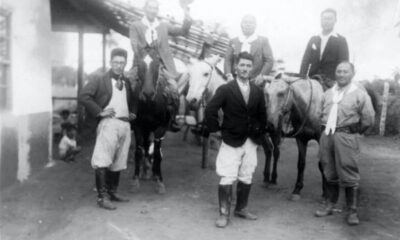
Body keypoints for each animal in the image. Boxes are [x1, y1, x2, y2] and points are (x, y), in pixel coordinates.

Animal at [130, 53, 174, 194]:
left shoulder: (161, 128)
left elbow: (157, 153)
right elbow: (139, 151)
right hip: (146, 129)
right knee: (146, 145)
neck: (150, 105)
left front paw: (160, 181)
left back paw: (154, 173)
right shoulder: (138, 127)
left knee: (155, 150)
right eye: (139, 65)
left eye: (157, 64)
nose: (148, 93)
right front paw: (135, 181)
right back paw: (146, 171)